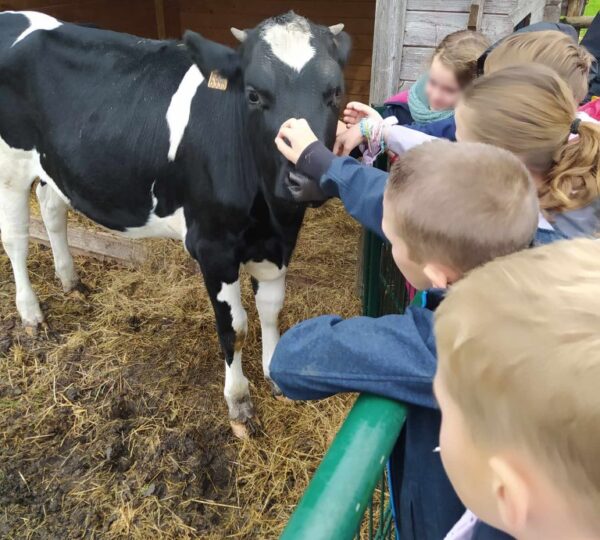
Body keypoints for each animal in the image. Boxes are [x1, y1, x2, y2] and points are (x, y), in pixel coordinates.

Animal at [0, 11, 350, 434]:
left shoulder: (277, 244)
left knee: (51, 207)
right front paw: (238, 402)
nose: (306, 179)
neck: (269, 214)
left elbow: (271, 308)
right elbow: (235, 327)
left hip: (54, 166)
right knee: (16, 238)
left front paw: (274, 373)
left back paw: (71, 282)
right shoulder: (213, 247)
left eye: (334, 93)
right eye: (253, 94)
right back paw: (30, 312)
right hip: (10, 165)